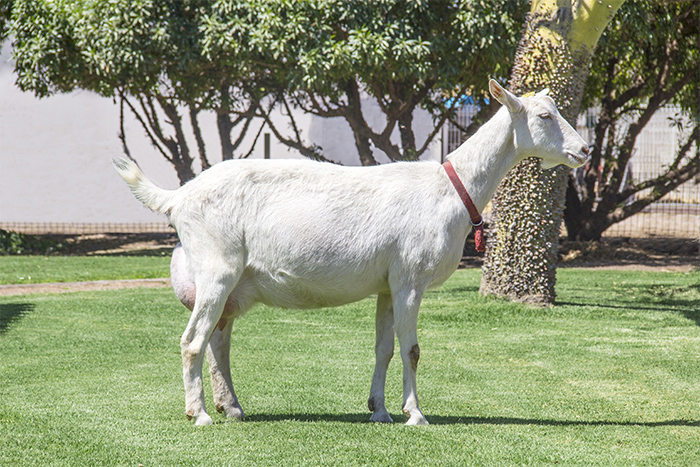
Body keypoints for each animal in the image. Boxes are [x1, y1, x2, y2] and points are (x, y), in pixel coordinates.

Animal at [115, 80, 592, 428]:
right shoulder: (410, 278)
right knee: (192, 341)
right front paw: (415, 414)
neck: (451, 190)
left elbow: (384, 348)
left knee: (219, 340)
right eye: (545, 115)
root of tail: (177, 197)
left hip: (233, 282)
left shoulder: (387, 284)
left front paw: (379, 409)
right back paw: (198, 414)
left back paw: (231, 406)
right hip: (217, 266)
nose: (584, 150)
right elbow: (411, 348)